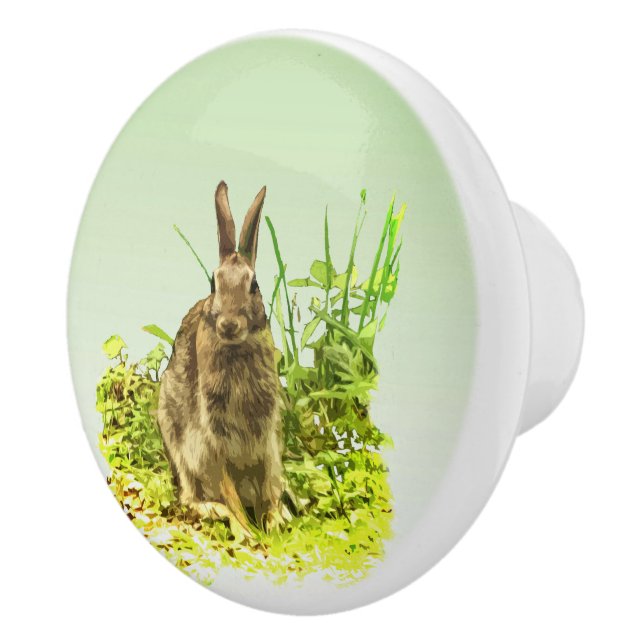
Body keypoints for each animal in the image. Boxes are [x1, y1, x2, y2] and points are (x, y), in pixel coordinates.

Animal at [157, 181, 284, 531]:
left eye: (254, 284)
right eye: (213, 283)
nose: (228, 325)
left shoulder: (265, 443)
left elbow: (267, 487)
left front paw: (272, 524)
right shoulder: (213, 444)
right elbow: (229, 492)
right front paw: (247, 532)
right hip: (176, 441)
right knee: (189, 496)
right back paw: (215, 512)